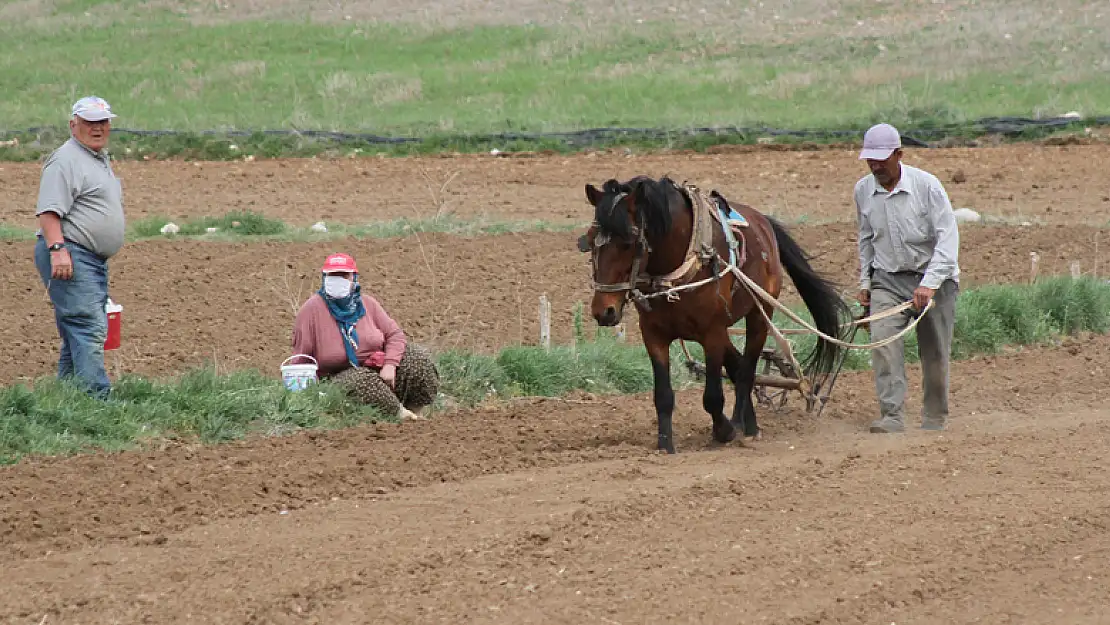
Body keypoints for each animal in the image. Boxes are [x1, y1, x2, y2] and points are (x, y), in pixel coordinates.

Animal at [581, 176, 848, 455]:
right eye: (590, 240)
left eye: (627, 242)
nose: (604, 311)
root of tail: (764, 224)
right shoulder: (654, 334)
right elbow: (663, 395)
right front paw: (665, 445)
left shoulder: (712, 333)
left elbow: (712, 396)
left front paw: (725, 431)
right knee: (737, 364)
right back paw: (750, 423)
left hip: (759, 314)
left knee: (746, 371)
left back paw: (743, 425)